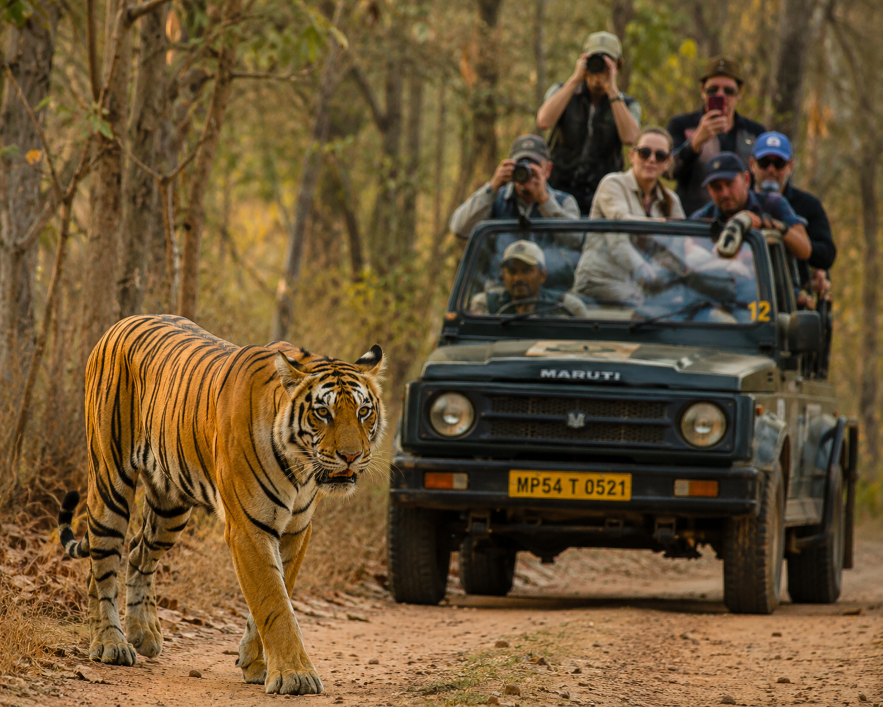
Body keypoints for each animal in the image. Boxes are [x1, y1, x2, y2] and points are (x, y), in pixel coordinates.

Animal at [56, 314, 385, 695]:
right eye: (322, 412)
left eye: (363, 411)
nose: (351, 456)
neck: (300, 469)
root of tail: (120, 323)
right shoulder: (248, 528)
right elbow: (274, 602)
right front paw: (295, 675)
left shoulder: (296, 529)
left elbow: (275, 596)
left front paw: (256, 664)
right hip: (110, 481)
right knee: (103, 560)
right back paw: (110, 643)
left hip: (170, 506)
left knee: (138, 553)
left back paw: (143, 634)